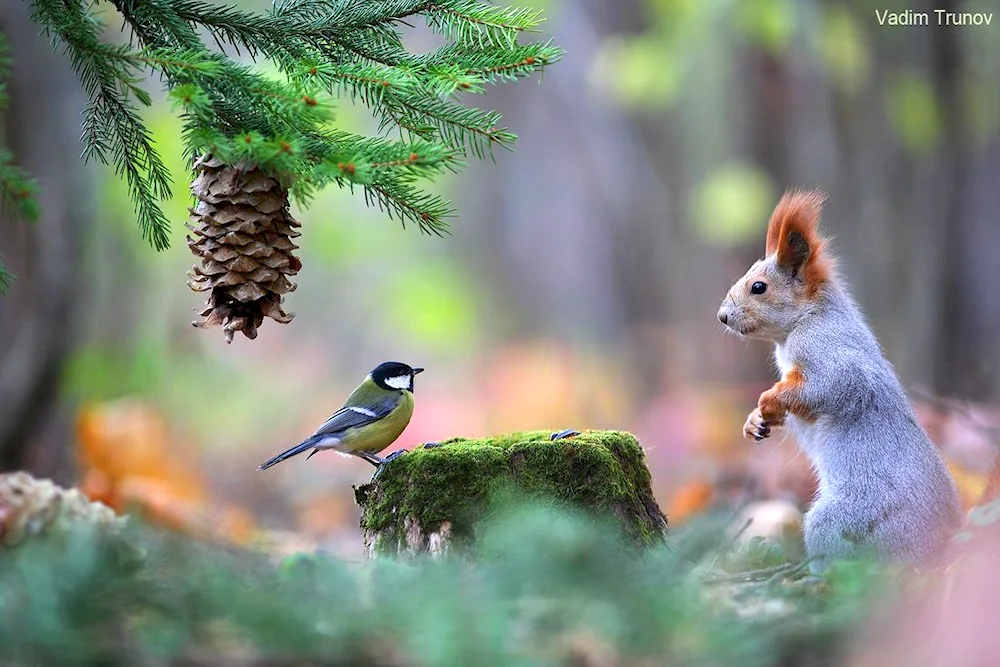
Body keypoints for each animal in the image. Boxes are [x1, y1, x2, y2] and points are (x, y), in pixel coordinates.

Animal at [716, 190, 964, 572]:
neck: (805, 320)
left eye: (759, 287)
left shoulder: (828, 349)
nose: (722, 316)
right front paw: (755, 421)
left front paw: (770, 400)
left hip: (841, 521)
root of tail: (940, 544)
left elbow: (836, 386)